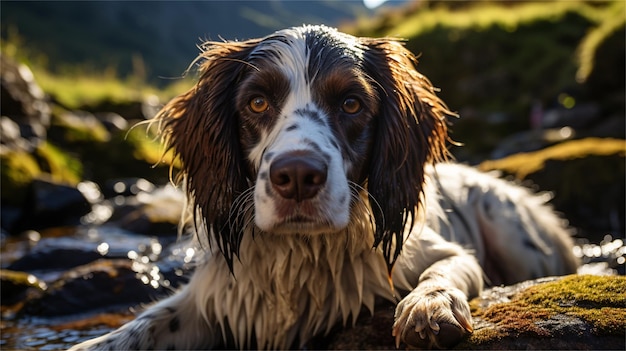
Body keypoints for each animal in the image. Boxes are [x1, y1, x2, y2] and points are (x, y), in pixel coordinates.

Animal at [69, 24, 576, 350]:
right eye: (257, 102)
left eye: (351, 103)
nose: (296, 176)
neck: (303, 254)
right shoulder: (218, 298)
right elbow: (145, 326)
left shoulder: (444, 251)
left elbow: (445, 271)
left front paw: (429, 309)